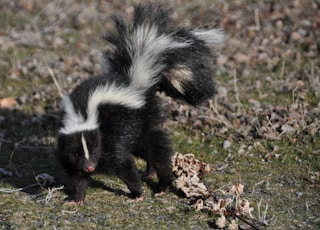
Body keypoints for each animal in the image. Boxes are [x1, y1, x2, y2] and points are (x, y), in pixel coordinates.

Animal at [55, 4, 225, 204]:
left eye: (95, 149)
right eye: (75, 153)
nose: (90, 167)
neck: (83, 114)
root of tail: (137, 81)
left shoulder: (111, 139)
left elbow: (124, 165)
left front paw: (137, 193)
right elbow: (77, 175)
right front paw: (77, 198)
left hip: (142, 121)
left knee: (156, 149)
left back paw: (162, 184)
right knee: (148, 149)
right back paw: (150, 173)